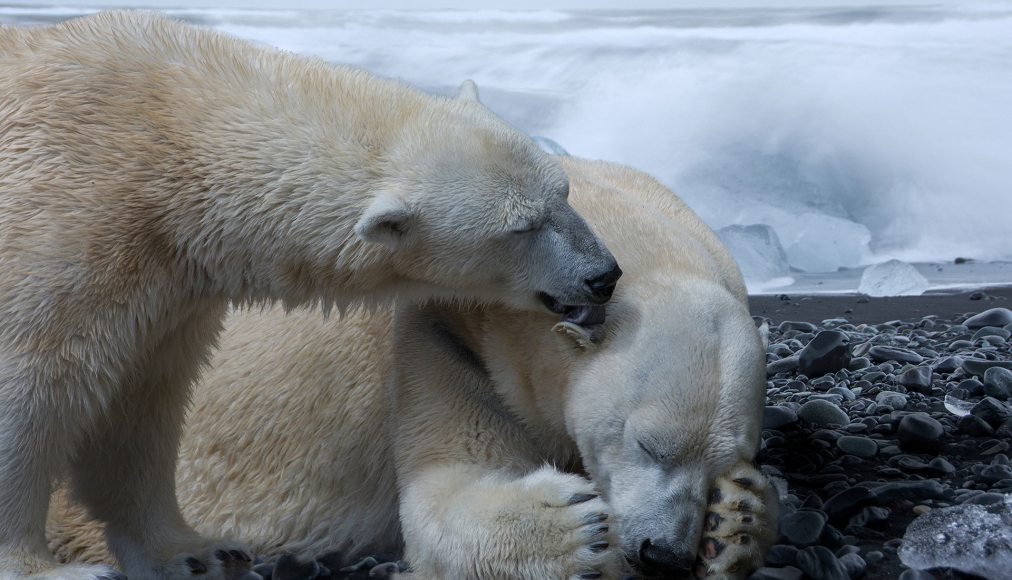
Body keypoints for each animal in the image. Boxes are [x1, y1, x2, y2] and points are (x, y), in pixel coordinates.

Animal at [0, 12, 615, 578]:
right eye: (522, 228)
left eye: (563, 191)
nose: (603, 274)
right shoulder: (64, 228)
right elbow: (29, 391)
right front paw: (47, 567)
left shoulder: (167, 287)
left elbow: (139, 406)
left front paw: (196, 551)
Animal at [51, 155, 777, 574]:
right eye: (648, 444)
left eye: (729, 456)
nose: (664, 553)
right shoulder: (443, 337)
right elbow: (445, 487)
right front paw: (570, 522)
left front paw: (735, 518)